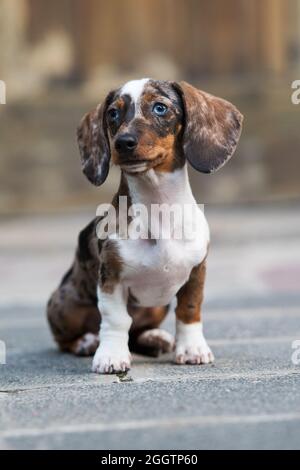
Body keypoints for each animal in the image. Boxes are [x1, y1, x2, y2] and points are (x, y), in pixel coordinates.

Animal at [47, 79, 244, 372]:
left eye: (160, 107)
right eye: (112, 114)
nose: (123, 142)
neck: (159, 207)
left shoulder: (196, 272)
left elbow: (189, 310)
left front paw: (192, 348)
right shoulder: (111, 278)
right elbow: (116, 319)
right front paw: (111, 356)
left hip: (156, 307)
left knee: (137, 332)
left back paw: (154, 337)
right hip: (65, 305)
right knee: (67, 339)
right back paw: (86, 341)